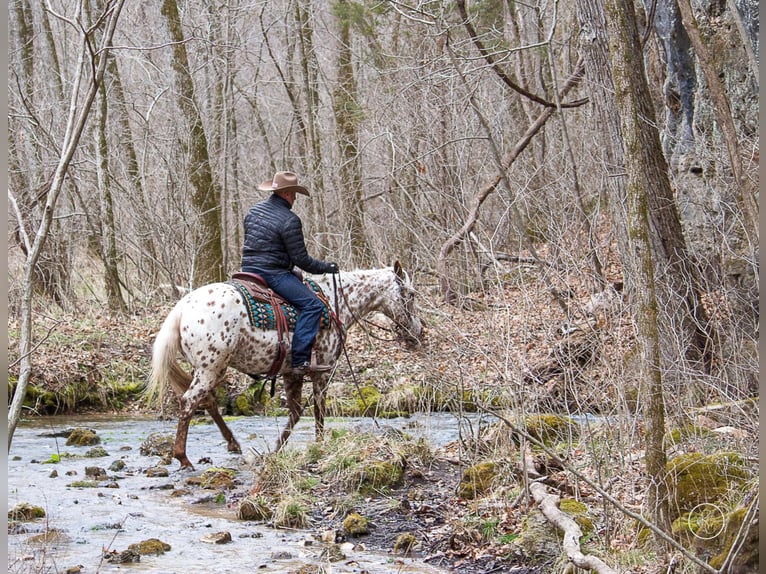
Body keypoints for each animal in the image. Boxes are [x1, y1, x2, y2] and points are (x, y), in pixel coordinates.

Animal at [146, 264, 426, 470]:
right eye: (411, 294)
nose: (418, 332)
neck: (335, 301)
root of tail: (183, 307)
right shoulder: (323, 371)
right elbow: (318, 411)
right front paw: (320, 446)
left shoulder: (292, 374)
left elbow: (296, 413)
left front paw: (274, 451)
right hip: (210, 369)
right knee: (189, 402)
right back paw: (183, 457)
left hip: (211, 369)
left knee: (208, 402)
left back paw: (233, 444)